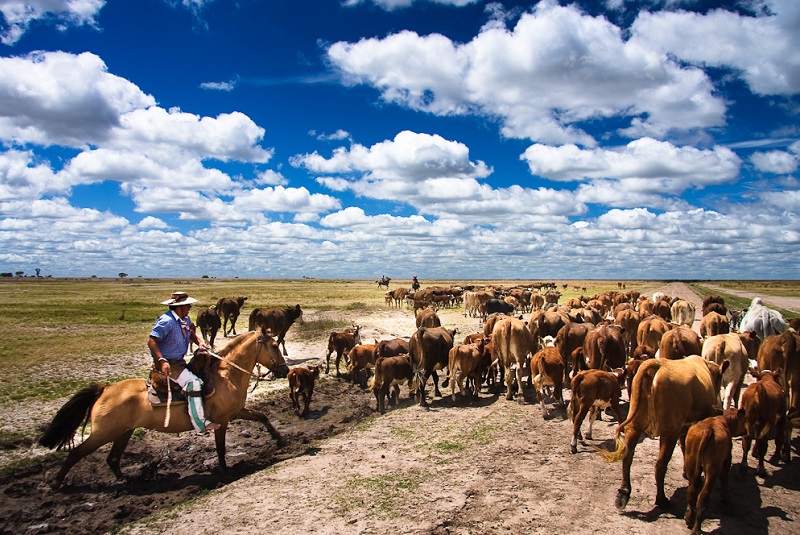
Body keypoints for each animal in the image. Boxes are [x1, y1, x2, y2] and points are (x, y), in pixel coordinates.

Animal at [38, 326, 288, 490]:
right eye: (275, 345)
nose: (285, 371)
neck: (226, 375)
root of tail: (105, 388)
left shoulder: (237, 412)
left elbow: (262, 416)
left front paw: (280, 440)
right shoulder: (223, 420)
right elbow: (220, 447)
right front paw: (226, 471)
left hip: (123, 432)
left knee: (113, 459)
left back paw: (130, 482)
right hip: (103, 433)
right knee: (77, 453)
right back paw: (56, 483)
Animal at [600, 356, 732, 510]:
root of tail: (657, 364)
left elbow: (685, 447)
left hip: (634, 427)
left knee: (627, 457)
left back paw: (623, 493)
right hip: (669, 433)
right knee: (660, 465)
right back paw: (661, 499)